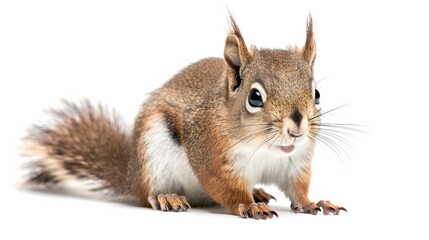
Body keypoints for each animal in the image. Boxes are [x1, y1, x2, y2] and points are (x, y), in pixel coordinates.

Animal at [21, 14, 346, 218]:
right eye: (255, 97)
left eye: (316, 94)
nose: (297, 127)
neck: (267, 149)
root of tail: (131, 176)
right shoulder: (210, 155)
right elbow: (224, 187)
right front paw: (249, 206)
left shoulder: (296, 162)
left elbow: (297, 189)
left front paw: (312, 203)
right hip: (153, 152)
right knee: (149, 195)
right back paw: (168, 197)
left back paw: (258, 192)